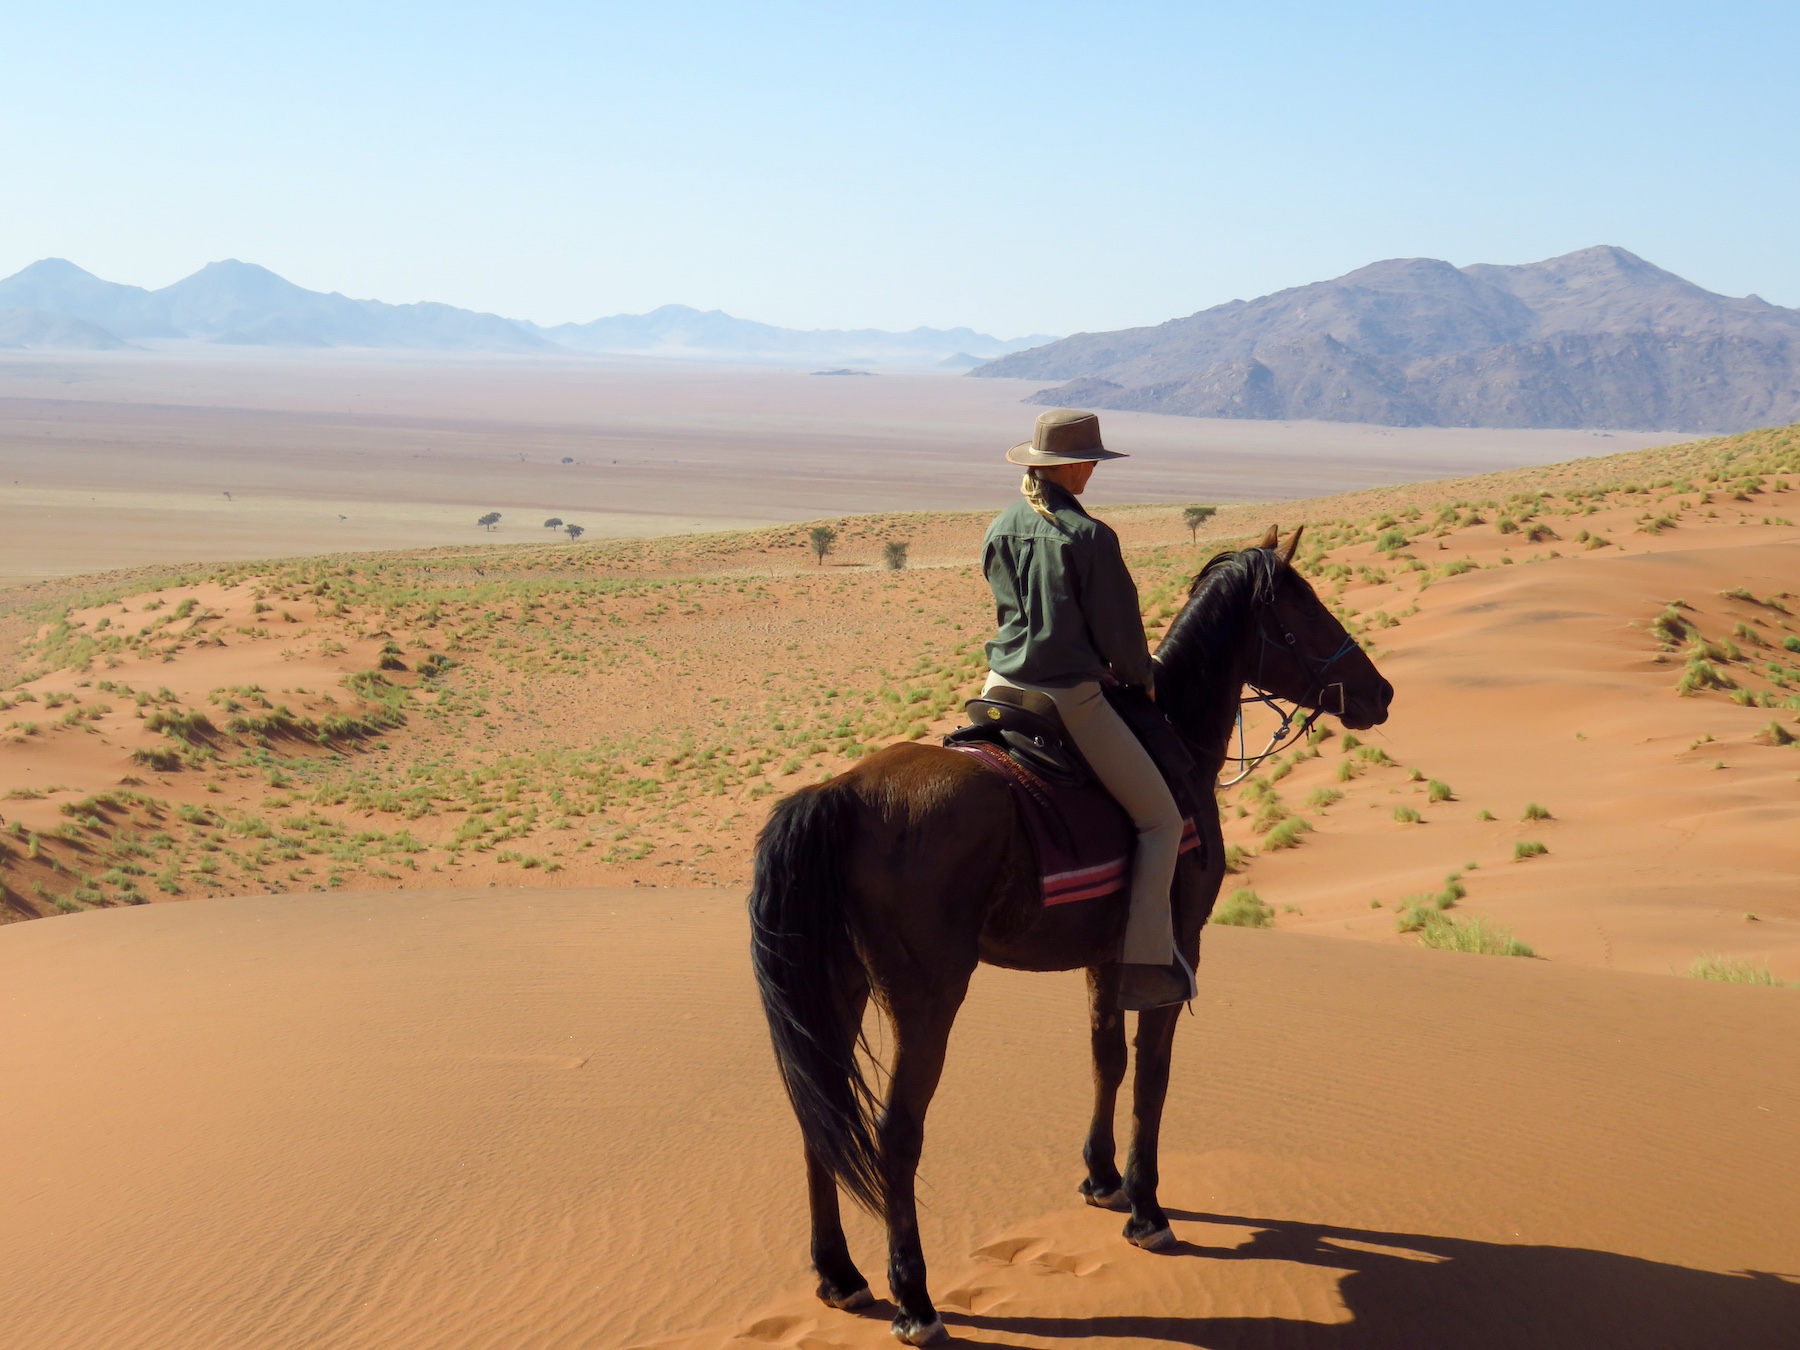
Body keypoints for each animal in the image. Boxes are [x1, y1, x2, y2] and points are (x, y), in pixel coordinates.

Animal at [745, 529, 1389, 1346]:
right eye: (1305, 610)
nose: (1381, 693)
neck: (1176, 742)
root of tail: (840, 793)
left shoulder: (1107, 955)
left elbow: (1105, 1057)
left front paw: (1102, 1178)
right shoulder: (1175, 945)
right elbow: (1152, 1074)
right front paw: (1147, 1209)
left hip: (838, 985)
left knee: (817, 1115)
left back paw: (839, 1276)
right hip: (924, 1001)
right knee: (894, 1134)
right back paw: (914, 1300)